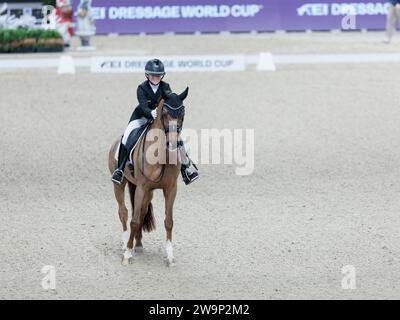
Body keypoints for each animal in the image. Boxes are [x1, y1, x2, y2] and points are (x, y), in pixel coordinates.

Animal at [108, 87, 189, 264]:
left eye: (182, 113)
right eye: (164, 112)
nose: (173, 143)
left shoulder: (170, 189)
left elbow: (168, 221)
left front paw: (170, 256)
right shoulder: (141, 187)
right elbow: (134, 220)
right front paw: (127, 255)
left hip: (148, 192)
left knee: (142, 211)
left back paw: (137, 243)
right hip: (120, 184)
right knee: (124, 212)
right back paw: (125, 244)